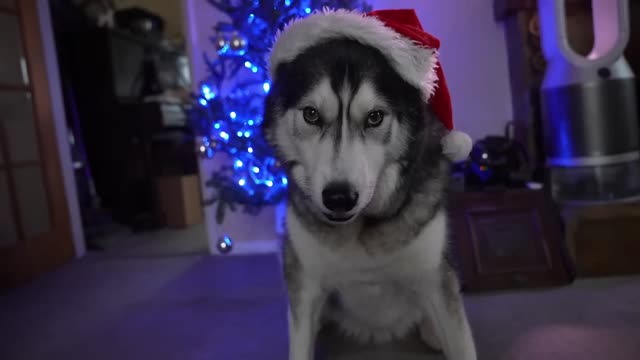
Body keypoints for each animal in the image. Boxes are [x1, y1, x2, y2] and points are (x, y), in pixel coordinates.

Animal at [260, 8, 476, 360]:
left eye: (375, 117)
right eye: (311, 114)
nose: (339, 197)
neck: (361, 230)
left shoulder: (436, 280)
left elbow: (460, 340)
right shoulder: (305, 286)